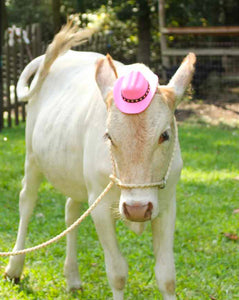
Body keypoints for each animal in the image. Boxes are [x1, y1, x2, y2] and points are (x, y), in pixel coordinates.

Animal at [5, 24, 196, 300]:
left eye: (165, 135)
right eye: (109, 136)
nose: (137, 209)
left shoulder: (167, 204)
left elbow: (167, 275)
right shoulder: (101, 207)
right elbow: (117, 272)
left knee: (71, 211)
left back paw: (72, 277)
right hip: (32, 158)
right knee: (27, 202)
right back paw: (14, 267)